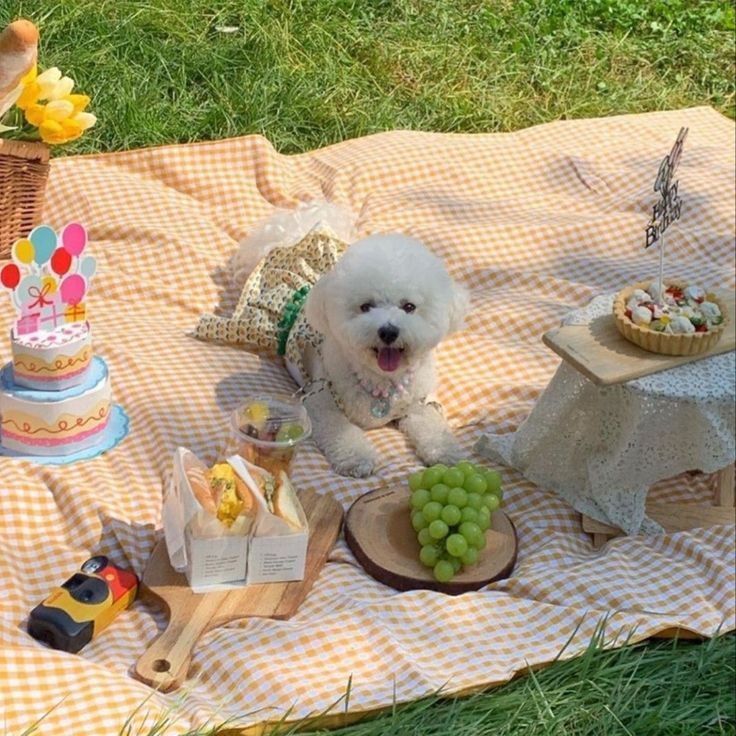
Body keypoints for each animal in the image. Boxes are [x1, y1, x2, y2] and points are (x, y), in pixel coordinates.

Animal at [300, 234, 472, 478]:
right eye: (366, 306)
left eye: (409, 306)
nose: (388, 331)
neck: (382, 381)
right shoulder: (321, 402)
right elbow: (340, 430)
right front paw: (358, 458)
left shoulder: (419, 403)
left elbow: (431, 425)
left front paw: (445, 452)